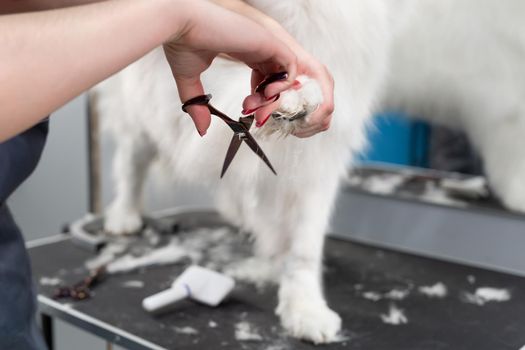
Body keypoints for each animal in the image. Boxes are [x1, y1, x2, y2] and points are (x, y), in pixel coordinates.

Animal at [91, 0, 402, 344]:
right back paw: (124, 215)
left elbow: (305, 245)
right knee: (131, 163)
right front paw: (294, 98)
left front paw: (305, 309)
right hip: (137, 116)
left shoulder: (318, 160)